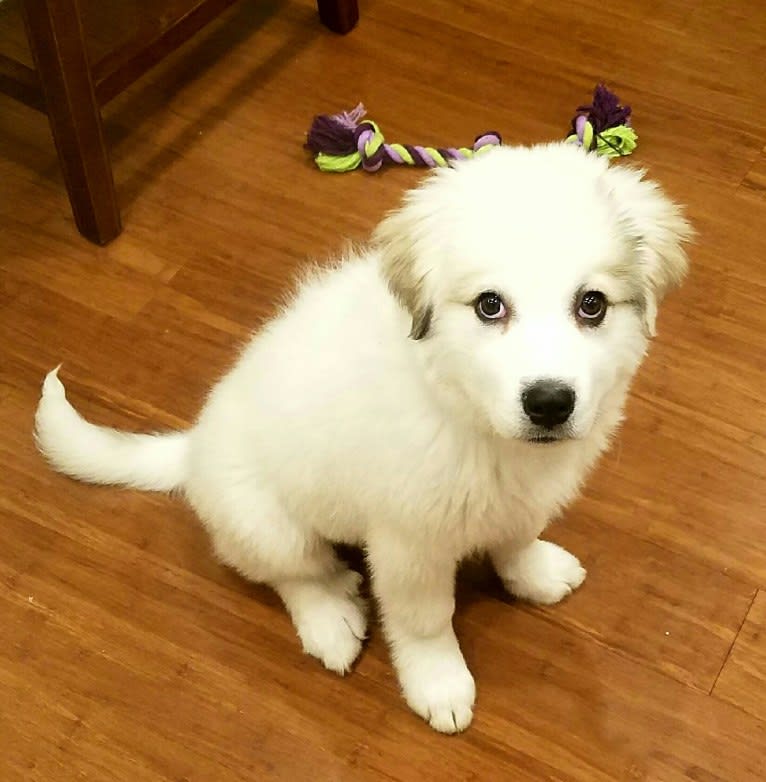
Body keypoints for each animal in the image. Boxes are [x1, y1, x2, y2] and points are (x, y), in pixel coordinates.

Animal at [36, 142, 696, 736]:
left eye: (592, 305)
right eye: (489, 306)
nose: (550, 403)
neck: (466, 411)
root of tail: (193, 448)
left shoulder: (524, 497)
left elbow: (516, 536)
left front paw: (533, 574)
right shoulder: (409, 543)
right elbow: (426, 620)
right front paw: (439, 683)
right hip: (266, 521)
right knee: (289, 572)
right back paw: (331, 617)